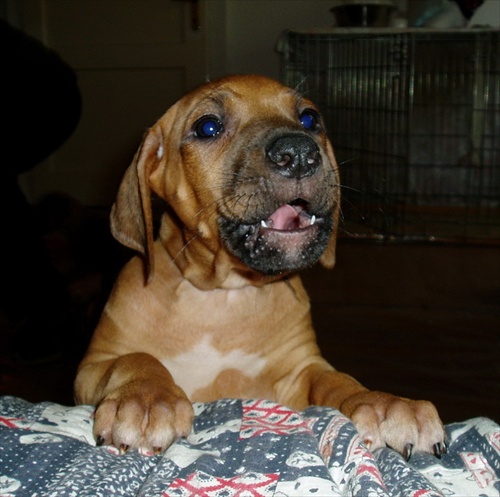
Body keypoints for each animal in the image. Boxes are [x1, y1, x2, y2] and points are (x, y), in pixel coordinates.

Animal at [74, 73, 446, 458]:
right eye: (208, 126)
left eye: (310, 119)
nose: (299, 154)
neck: (224, 293)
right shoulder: (94, 366)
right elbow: (134, 359)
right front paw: (147, 398)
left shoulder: (298, 372)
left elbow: (335, 379)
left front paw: (380, 401)